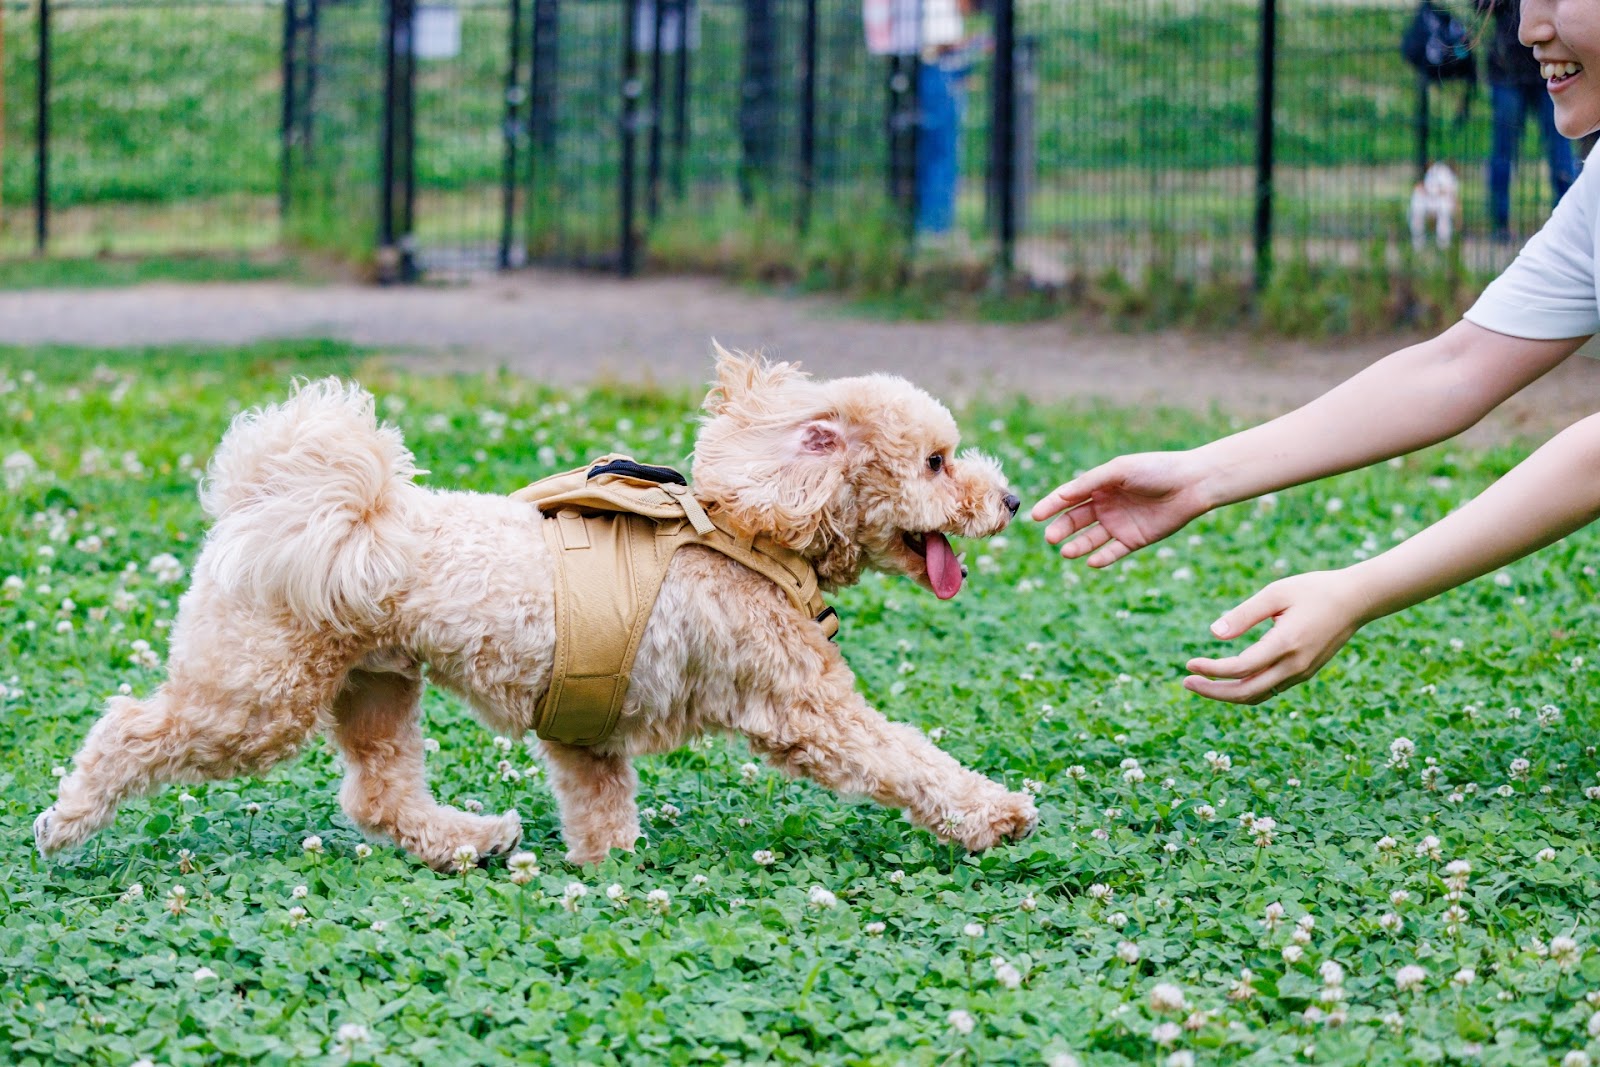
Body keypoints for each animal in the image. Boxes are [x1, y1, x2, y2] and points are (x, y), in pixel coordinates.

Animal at [40, 350, 1036, 870]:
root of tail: (274, 505)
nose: (1013, 499)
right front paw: (996, 814)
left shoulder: (585, 727)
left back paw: (469, 839)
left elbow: (602, 810)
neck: (749, 531)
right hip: (257, 692)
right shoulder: (806, 709)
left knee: (378, 794)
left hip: (373, 684)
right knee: (131, 726)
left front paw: (607, 871)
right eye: (937, 461)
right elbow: (904, 757)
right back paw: (68, 821)